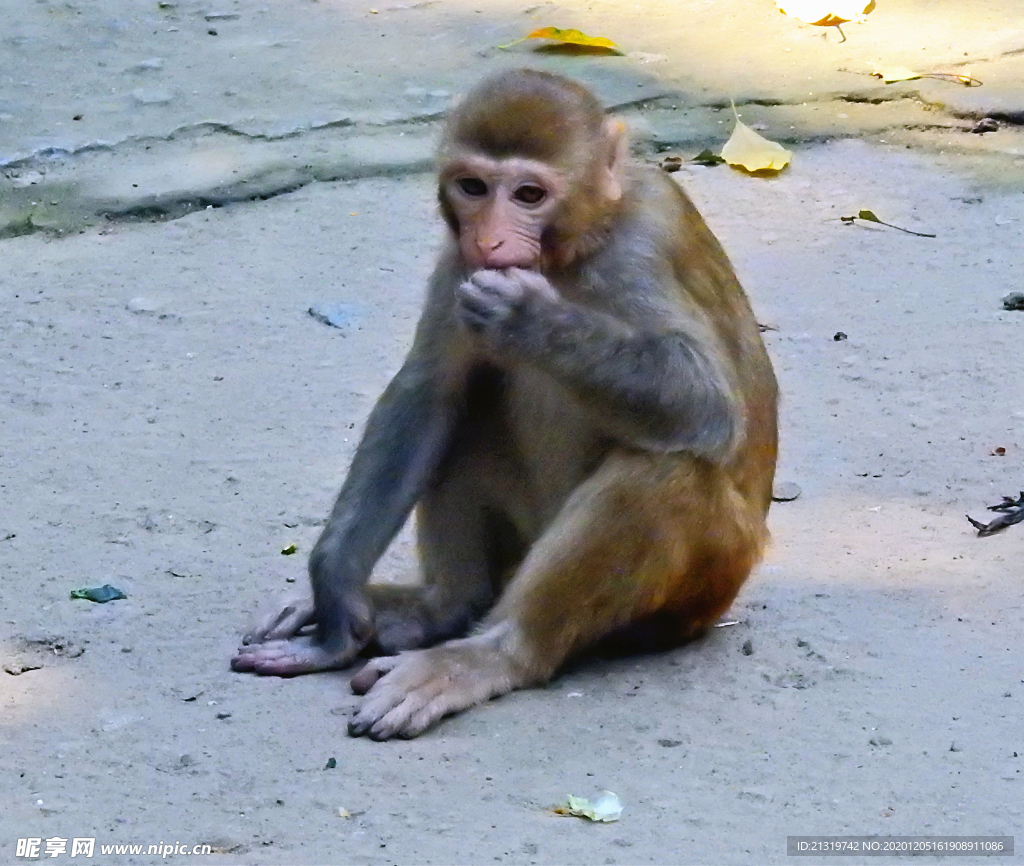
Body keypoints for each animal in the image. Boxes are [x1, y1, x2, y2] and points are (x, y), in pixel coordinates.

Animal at [232, 69, 774, 745]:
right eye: (472, 187)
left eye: (529, 193)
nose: (489, 238)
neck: (578, 246)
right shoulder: (456, 260)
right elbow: (428, 394)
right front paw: (336, 602)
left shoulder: (644, 244)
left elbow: (709, 406)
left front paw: (530, 320)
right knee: (466, 409)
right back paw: (436, 608)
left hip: (700, 591)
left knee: (670, 467)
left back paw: (491, 655)